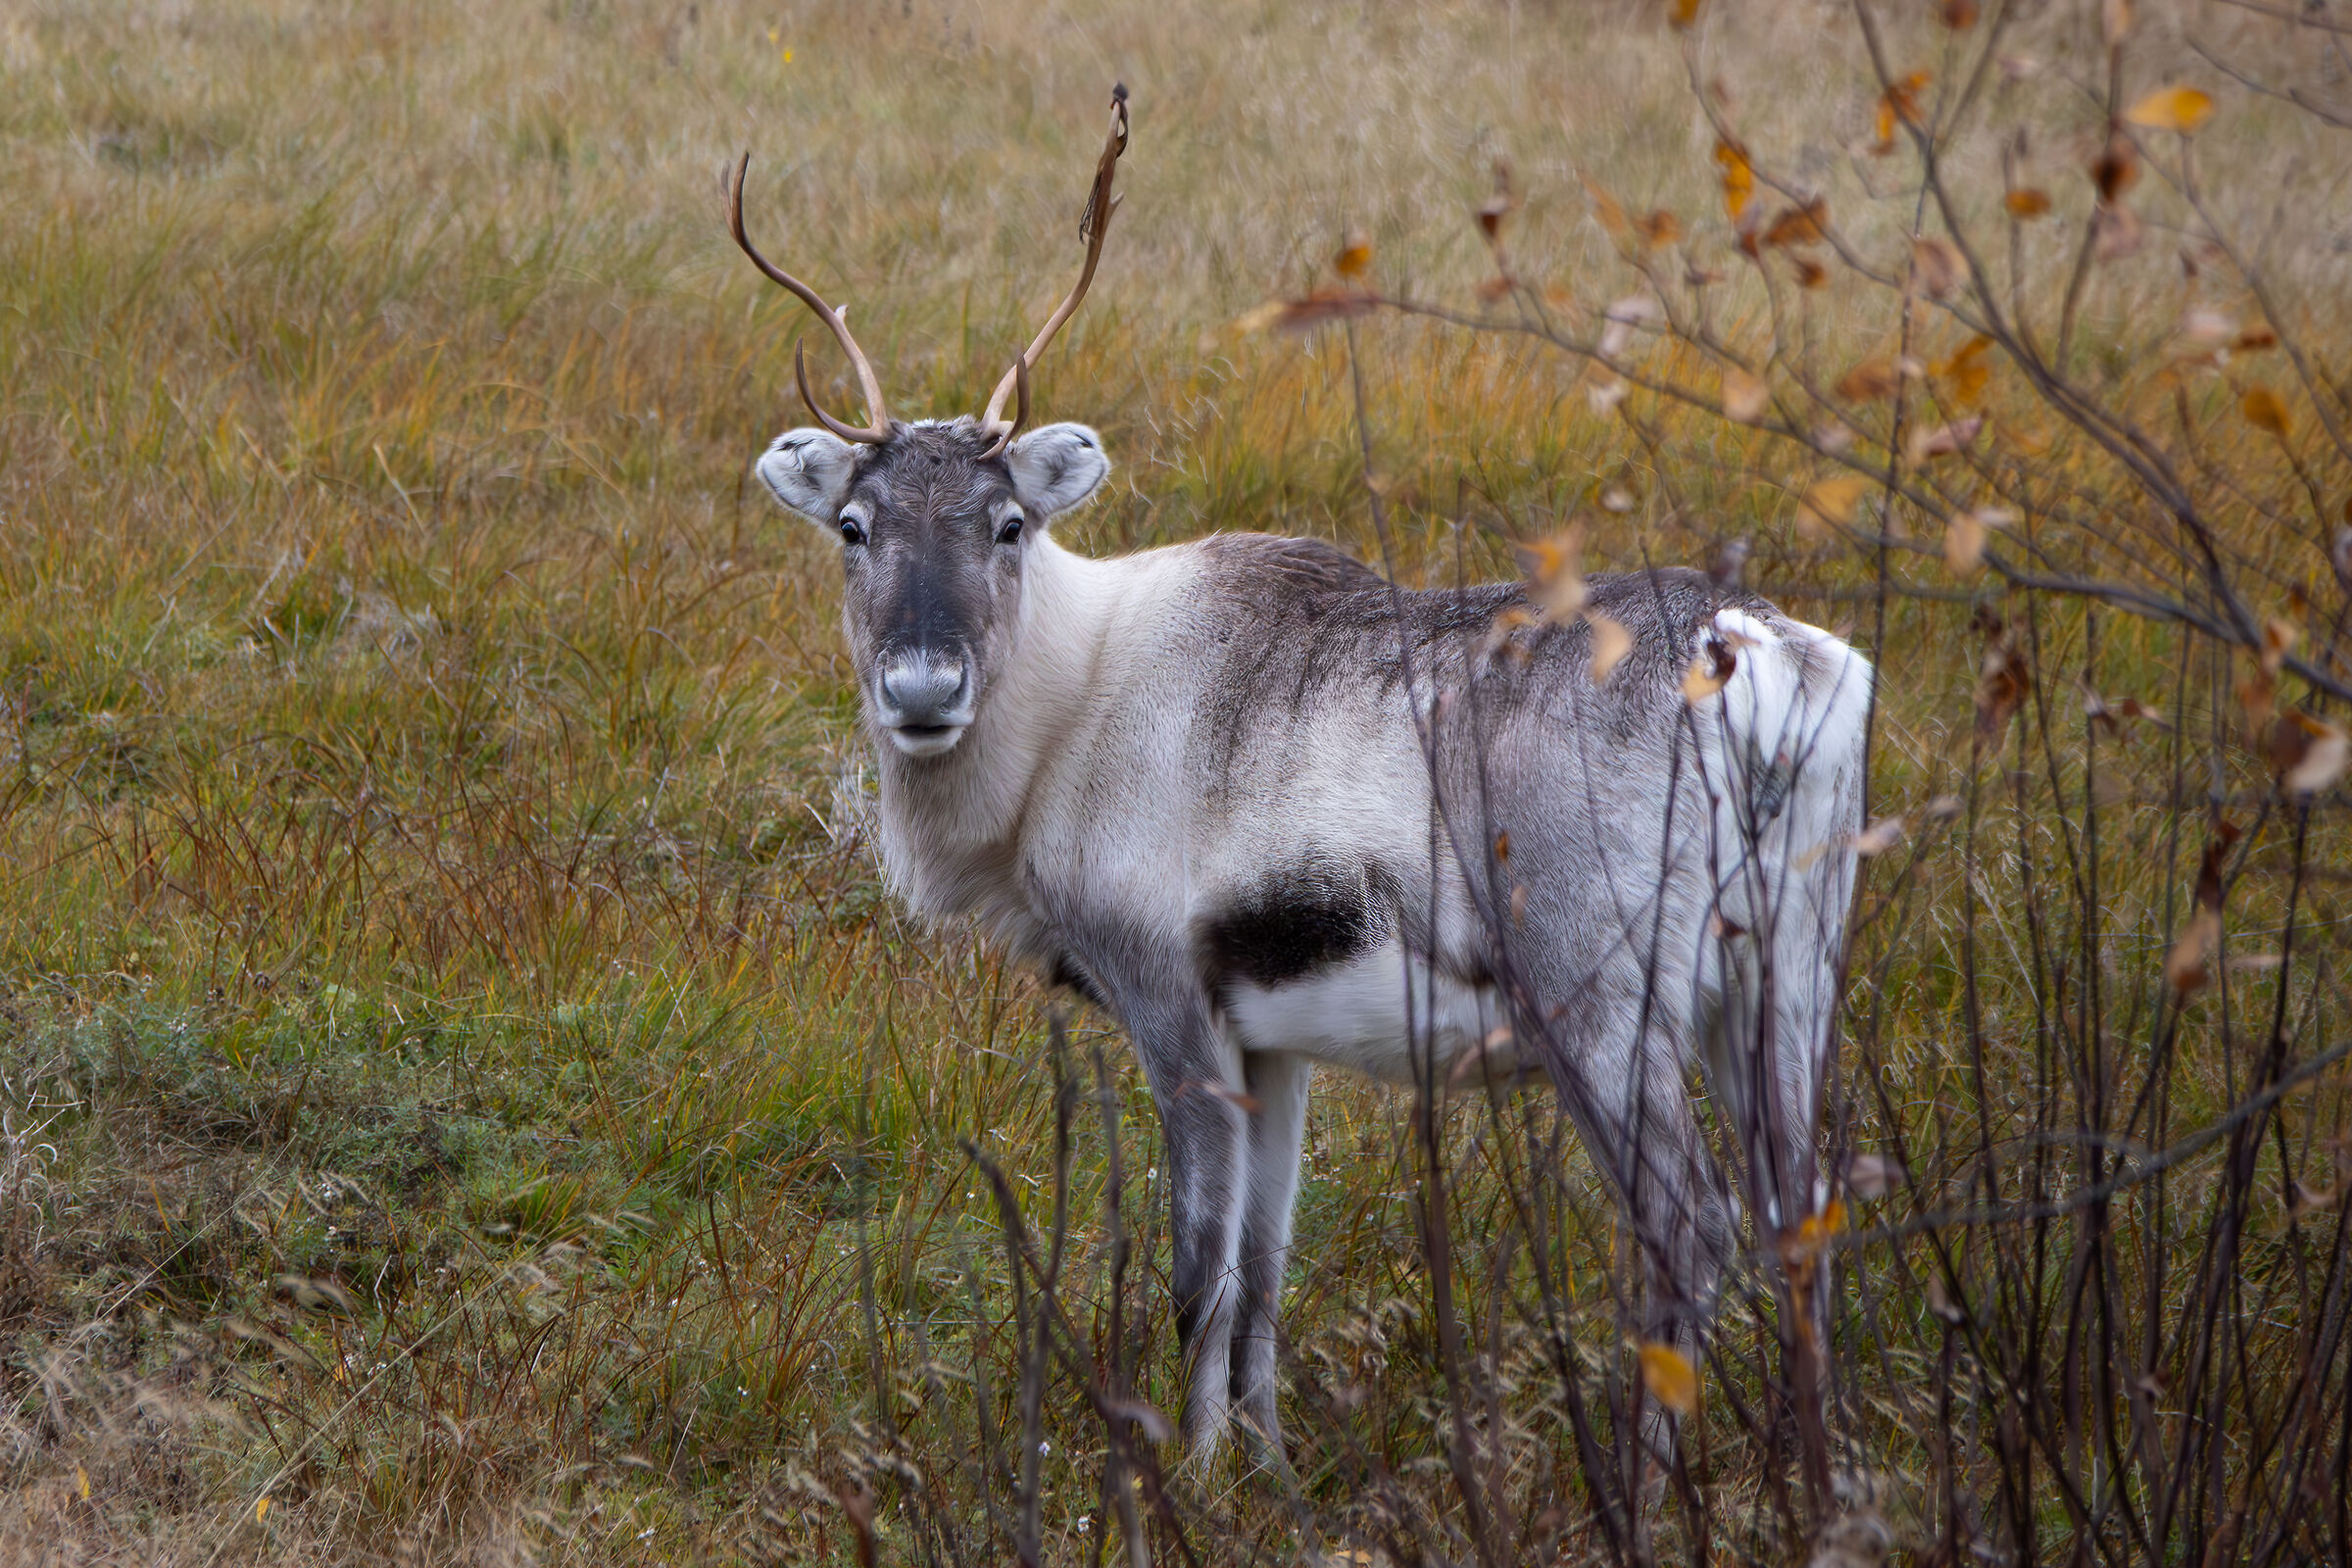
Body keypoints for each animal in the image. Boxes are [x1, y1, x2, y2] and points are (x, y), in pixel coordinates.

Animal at [728, 85, 1873, 1467]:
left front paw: (1194, 1474)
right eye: (853, 526)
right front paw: (1268, 1465)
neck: (1060, 721)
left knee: (1687, 1227)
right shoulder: (1275, 1042)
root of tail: (1760, 657)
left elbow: (1198, 1278)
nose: (922, 689)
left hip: (1601, 996)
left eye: (1009, 523)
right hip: (1787, 969)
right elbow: (1268, 1271)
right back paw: (1812, 1478)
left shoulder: (1170, 1003)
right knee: (1801, 1214)